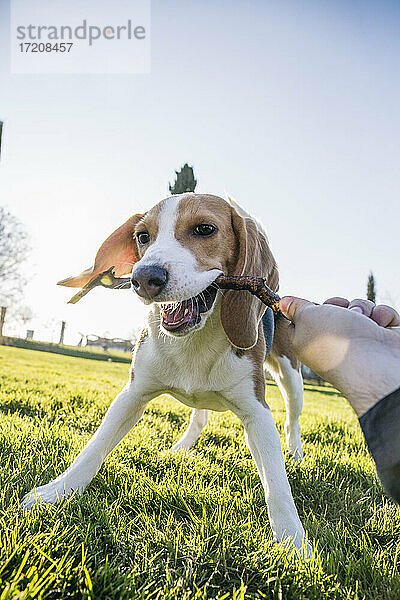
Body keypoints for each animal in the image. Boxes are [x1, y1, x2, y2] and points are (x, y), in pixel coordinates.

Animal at [21, 195, 310, 556]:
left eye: (205, 229)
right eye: (143, 237)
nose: (143, 277)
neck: (194, 340)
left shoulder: (257, 412)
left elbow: (276, 482)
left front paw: (292, 541)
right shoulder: (132, 394)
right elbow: (95, 447)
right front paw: (56, 492)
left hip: (291, 378)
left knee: (291, 421)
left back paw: (296, 454)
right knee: (200, 417)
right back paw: (180, 449)